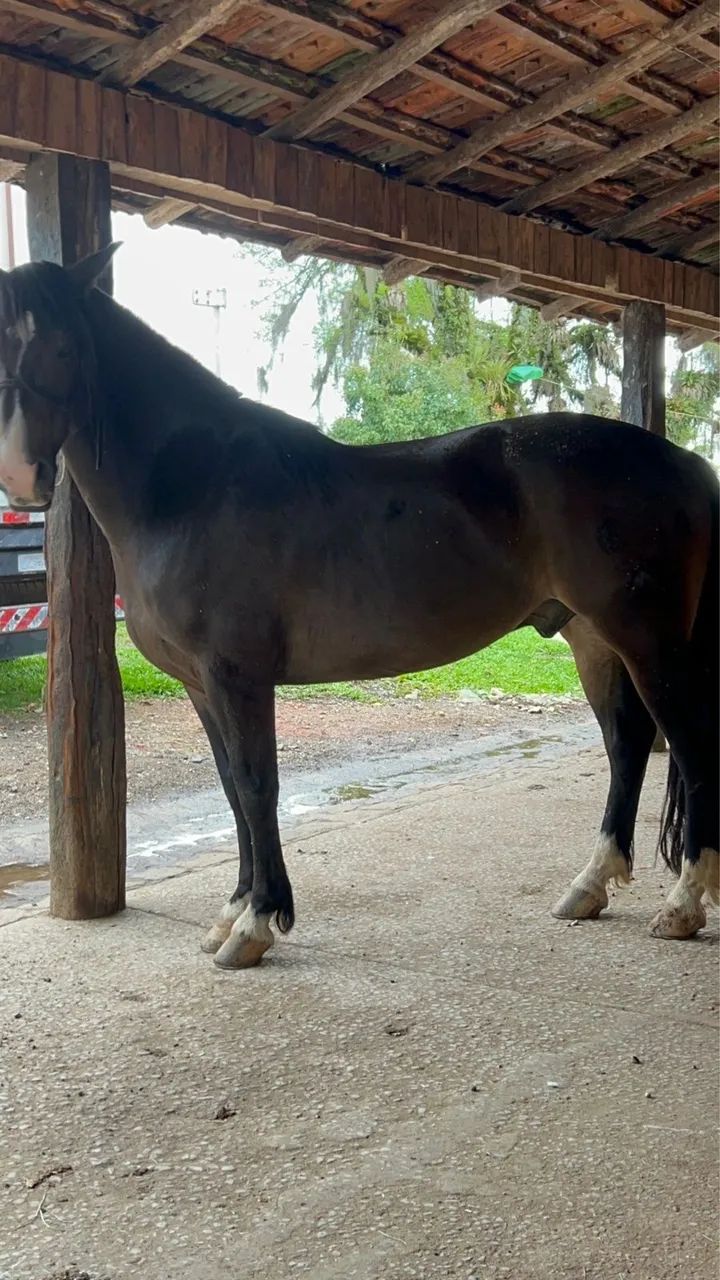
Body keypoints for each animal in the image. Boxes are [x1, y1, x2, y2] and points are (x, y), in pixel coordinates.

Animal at [0, 245, 717, 969]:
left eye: (65, 346)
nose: (22, 477)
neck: (191, 488)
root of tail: (685, 460)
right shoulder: (201, 686)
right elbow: (231, 790)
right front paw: (232, 912)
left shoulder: (238, 676)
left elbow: (257, 787)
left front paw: (256, 923)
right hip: (594, 638)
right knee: (627, 746)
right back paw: (590, 886)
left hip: (649, 642)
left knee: (688, 749)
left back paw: (683, 905)